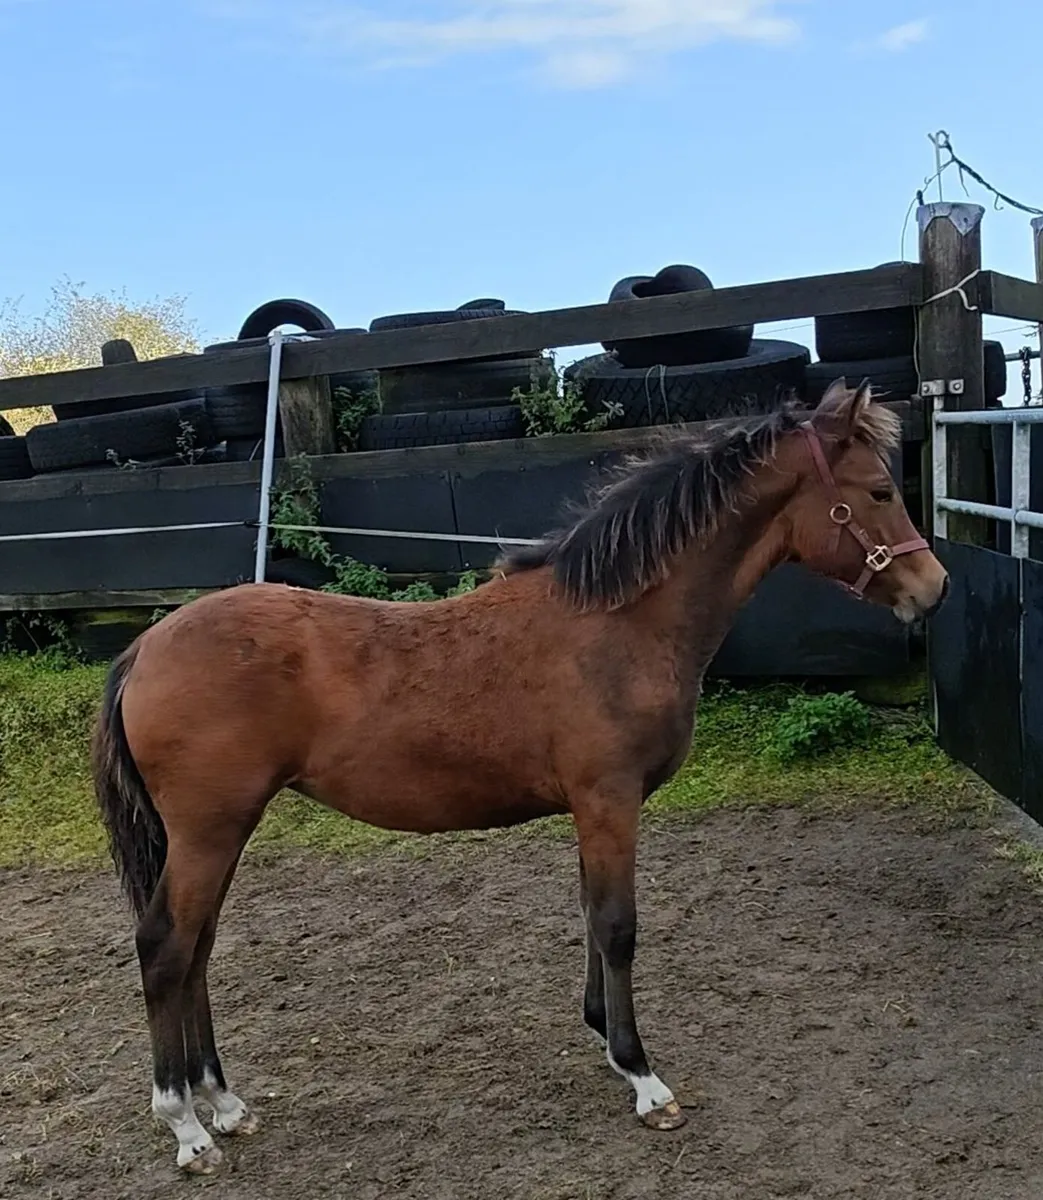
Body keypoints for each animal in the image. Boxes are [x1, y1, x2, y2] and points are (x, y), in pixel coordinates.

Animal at [91, 378, 948, 1175]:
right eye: (878, 491)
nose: (932, 588)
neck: (618, 625)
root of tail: (142, 650)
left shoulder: (591, 808)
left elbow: (590, 915)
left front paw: (605, 1040)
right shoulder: (608, 801)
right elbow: (617, 925)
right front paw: (643, 1080)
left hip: (216, 834)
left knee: (198, 947)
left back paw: (226, 1103)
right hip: (209, 830)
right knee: (166, 948)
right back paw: (187, 1127)